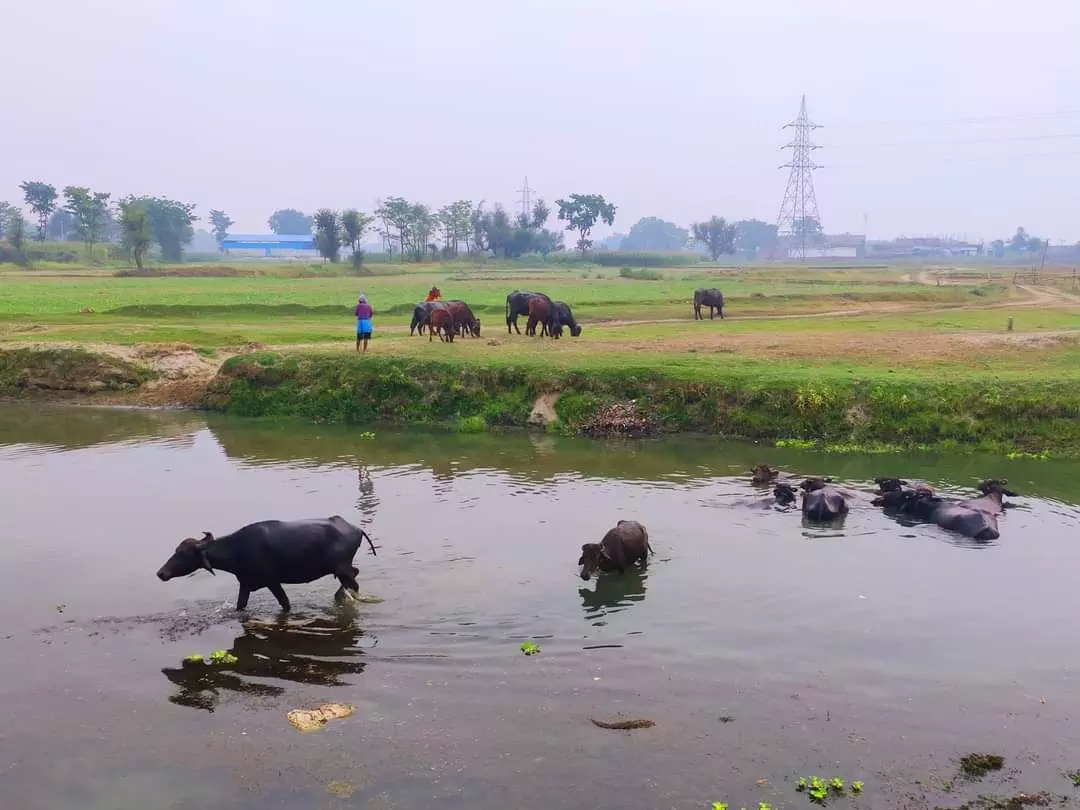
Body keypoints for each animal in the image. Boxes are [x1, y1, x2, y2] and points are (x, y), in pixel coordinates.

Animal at [154, 516, 378, 613]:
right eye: (176, 550)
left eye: (184, 553)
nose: (161, 573)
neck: (238, 549)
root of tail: (356, 528)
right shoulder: (245, 585)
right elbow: (240, 606)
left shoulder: (272, 582)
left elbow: (285, 604)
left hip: (341, 567)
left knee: (353, 580)